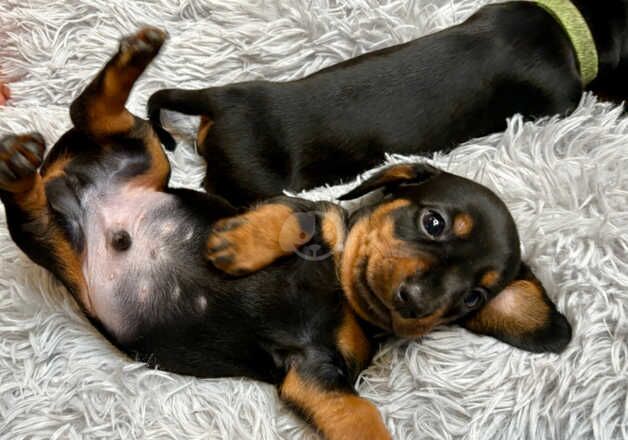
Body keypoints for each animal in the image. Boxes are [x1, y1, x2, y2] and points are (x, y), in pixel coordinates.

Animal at [0, 28, 568, 440]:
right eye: (434, 222)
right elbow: (301, 216)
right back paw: (131, 60)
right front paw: (232, 246)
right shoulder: (292, 204)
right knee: (86, 117)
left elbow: (361, 418)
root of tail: (62, 178)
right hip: (144, 160)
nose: (415, 302)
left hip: (76, 216)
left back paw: (23, 159)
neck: (343, 288)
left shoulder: (315, 371)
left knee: (53, 167)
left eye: (473, 298)